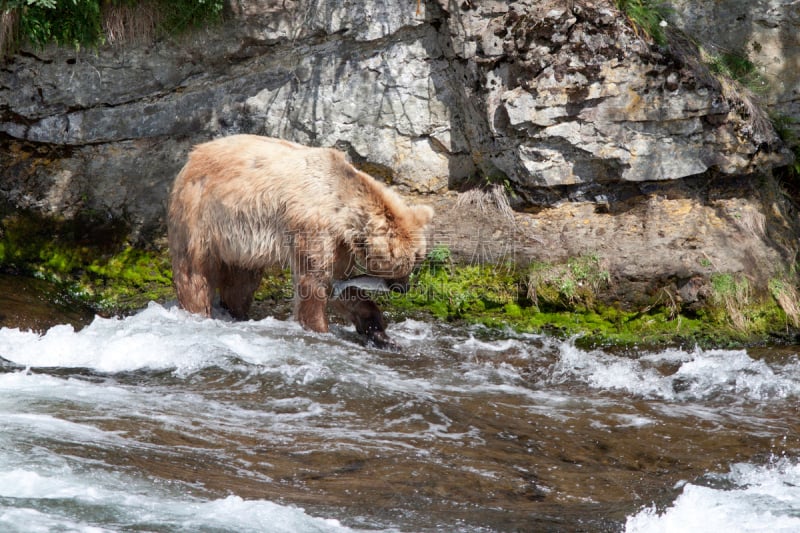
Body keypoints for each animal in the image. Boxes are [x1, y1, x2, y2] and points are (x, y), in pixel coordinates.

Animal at [166, 135, 434, 348]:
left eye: (417, 260)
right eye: (406, 264)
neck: (340, 208)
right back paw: (199, 311)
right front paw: (320, 329)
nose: (404, 288)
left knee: (242, 281)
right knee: (194, 273)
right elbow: (313, 283)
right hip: (201, 216)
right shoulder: (311, 227)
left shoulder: (339, 245)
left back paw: (238, 313)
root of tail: (191, 156)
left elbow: (340, 286)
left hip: (239, 244)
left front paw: (380, 333)